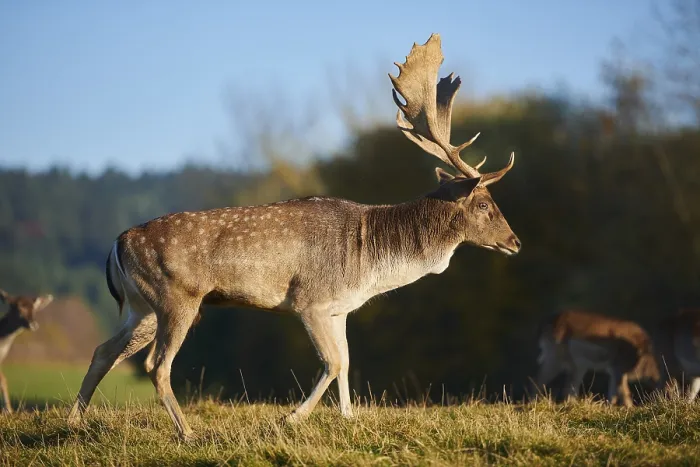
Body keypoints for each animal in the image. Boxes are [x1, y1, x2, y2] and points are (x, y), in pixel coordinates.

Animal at [67, 33, 521, 440]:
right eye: (484, 205)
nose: (515, 241)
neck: (370, 260)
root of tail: (118, 243)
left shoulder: (339, 309)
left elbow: (347, 361)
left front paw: (349, 419)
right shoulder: (310, 300)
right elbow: (333, 362)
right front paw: (290, 419)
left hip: (141, 306)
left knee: (104, 350)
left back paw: (74, 422)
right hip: (177, 296)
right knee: (156, 366)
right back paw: (188, 432)